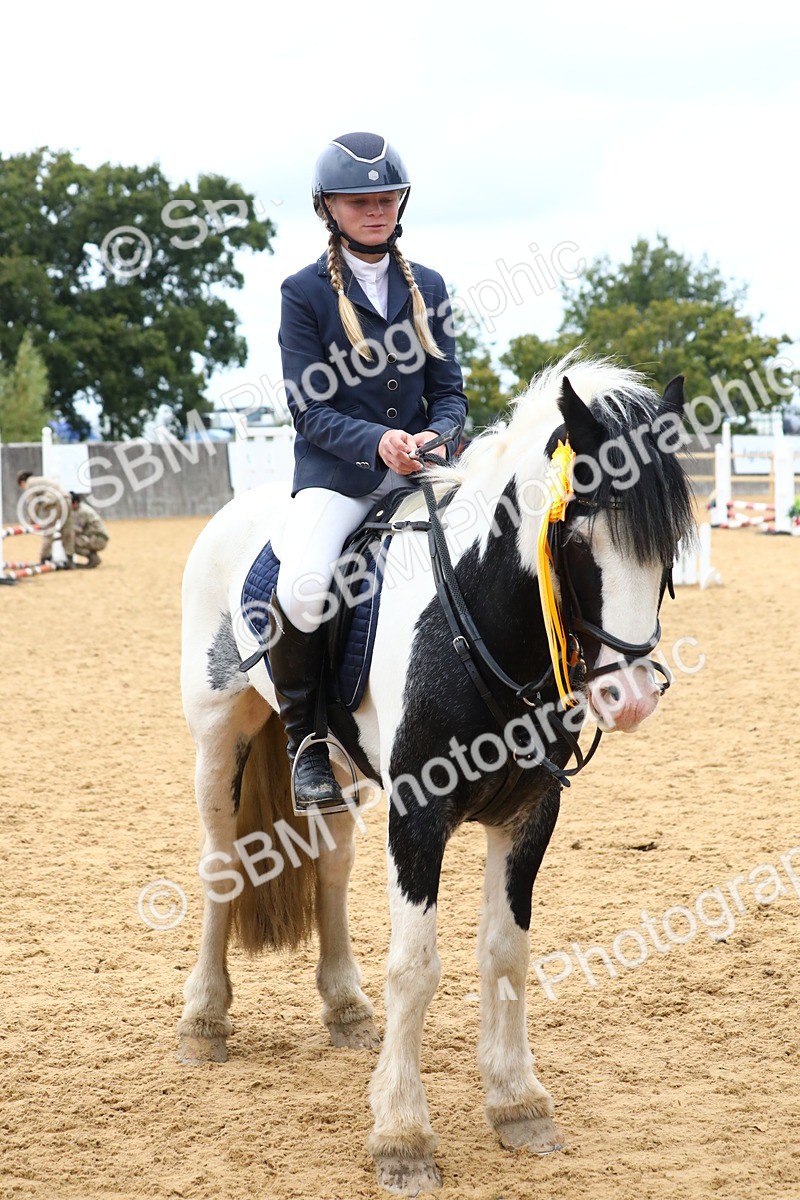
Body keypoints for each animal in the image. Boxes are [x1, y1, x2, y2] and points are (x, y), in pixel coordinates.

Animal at [177, 352, 695, 1195]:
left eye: (671, 540)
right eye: (577, 529)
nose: (633, 698)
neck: (484, 624)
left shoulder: (528, 813)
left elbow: (506, 952)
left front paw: (518, 1103)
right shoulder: (417, 815)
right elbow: (416, 967)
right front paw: (402, 1137)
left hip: (339, 770)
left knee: (330, 865)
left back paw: (346, 1009)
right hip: (219, 740)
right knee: (223, 865)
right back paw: (203, 1022)